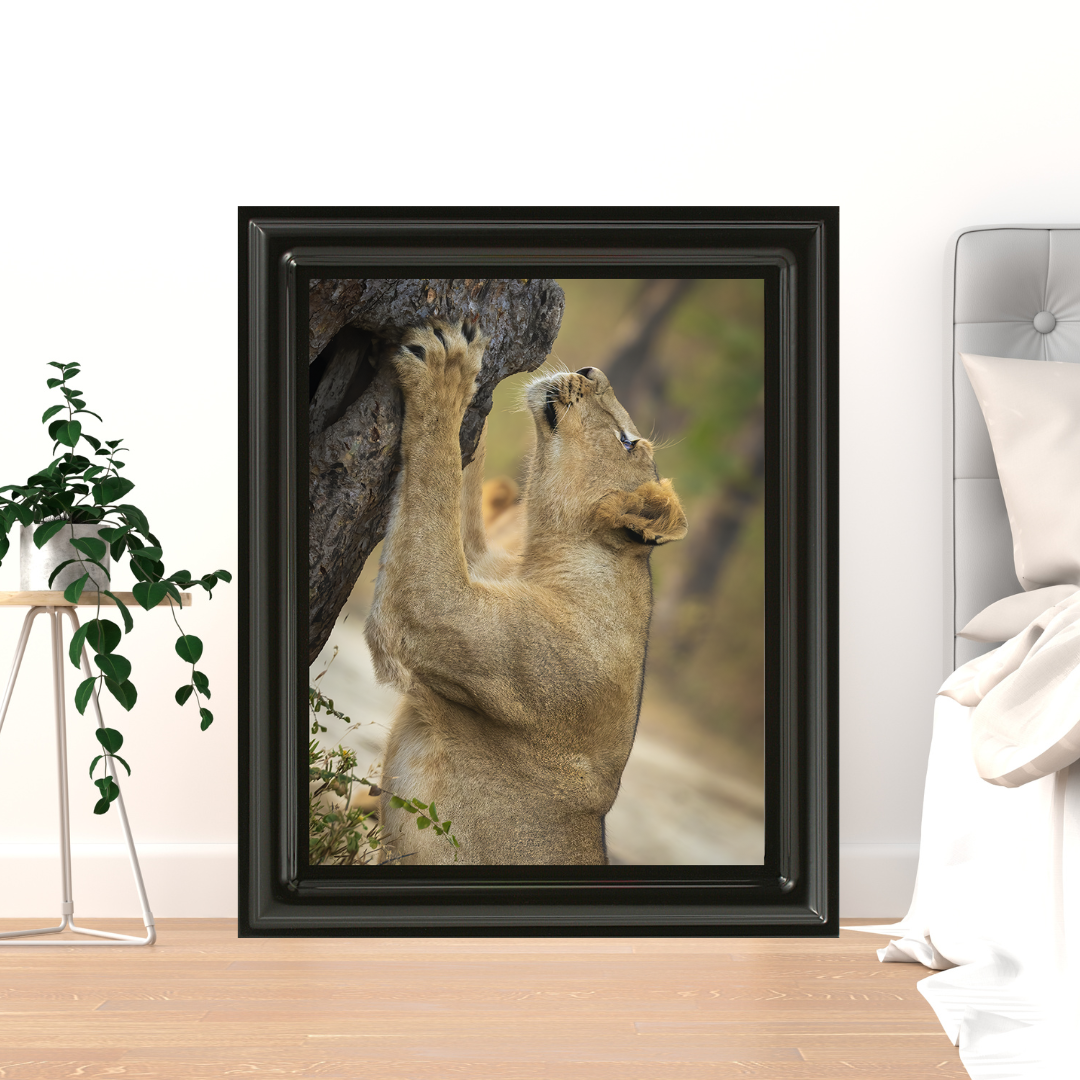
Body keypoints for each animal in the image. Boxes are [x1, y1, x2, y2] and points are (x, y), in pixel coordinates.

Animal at [364, 319, 687, 864]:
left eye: (627, 442)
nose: (590, 371)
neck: (541, 560)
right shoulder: (478, 560)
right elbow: (455, 485)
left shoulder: (437, 612)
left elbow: (438, 476)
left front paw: (447, 374)